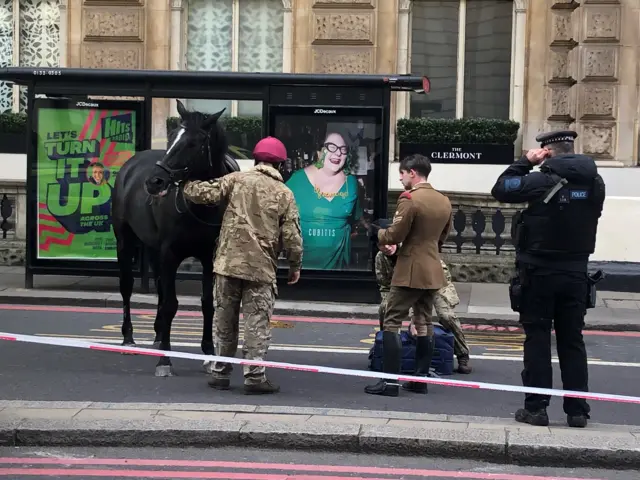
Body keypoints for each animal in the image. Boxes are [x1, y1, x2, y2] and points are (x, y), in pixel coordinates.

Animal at [111, 99, 239, 376]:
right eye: (171, 137)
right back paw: (129, 338)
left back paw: (159, 335)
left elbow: (207, 303)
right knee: (127, 286)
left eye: (192, 143)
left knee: (160, 287)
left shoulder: (209, 257)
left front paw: (209, 354)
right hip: (125, 241)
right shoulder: (170, 253)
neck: (201, 205)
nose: (154, 182)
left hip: (153, 248)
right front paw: (164, 361)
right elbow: (171, 304)